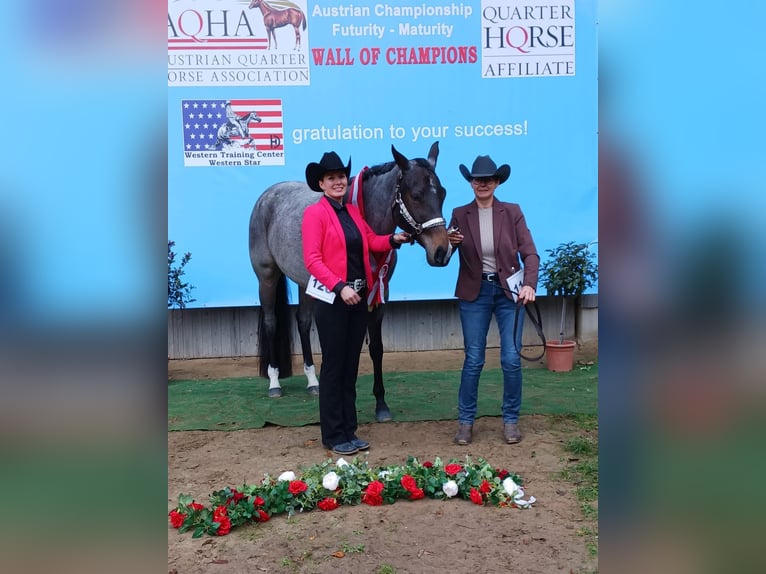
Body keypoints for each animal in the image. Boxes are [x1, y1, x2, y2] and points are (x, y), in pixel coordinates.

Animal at [249, 142, 450, 421]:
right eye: (417, 194)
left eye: (442, 193)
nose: (442, 252)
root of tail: (267, 196)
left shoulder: (381, 294)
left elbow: (376, 348)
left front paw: (381, 405)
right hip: (266, 276)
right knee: (271, 322)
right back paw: (274, 383)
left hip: (305, 282)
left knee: (303, 321)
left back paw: (313, 382)